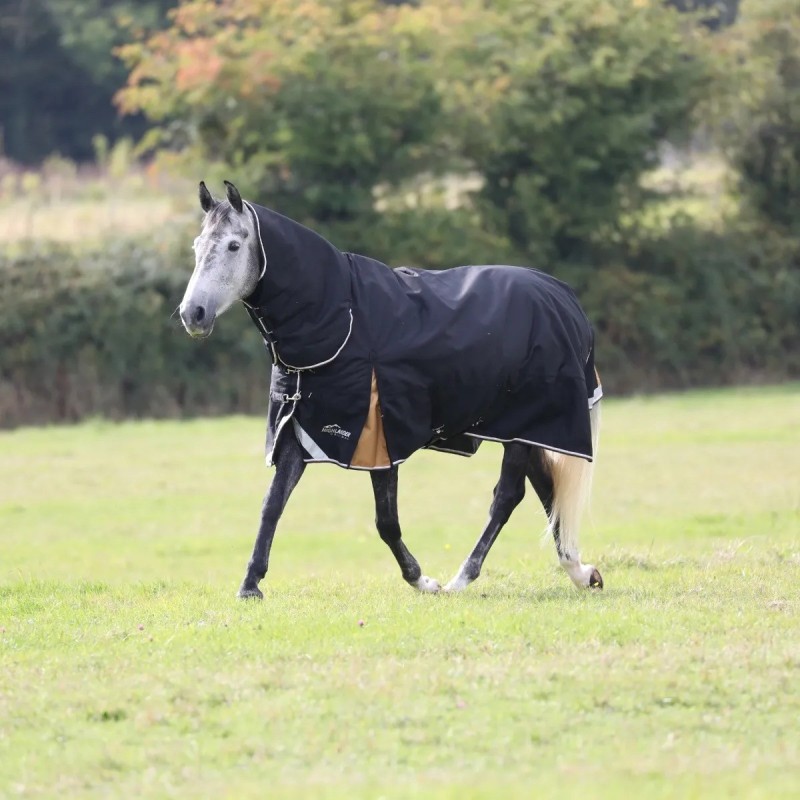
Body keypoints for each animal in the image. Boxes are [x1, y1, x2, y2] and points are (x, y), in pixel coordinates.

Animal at [181, 180, 604, 592]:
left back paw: (461, 579)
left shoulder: (379, 439)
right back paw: (580, 572)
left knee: (507, 497)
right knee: (546, 489)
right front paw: (250, 584)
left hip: (523, 426)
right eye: (197, 247)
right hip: (520, 427)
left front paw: (422, 581)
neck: (343, 320)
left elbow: (386, 521)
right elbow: (272, 505)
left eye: (234, 245)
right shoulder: (299, 429)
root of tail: (563, 298)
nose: (192, 313)